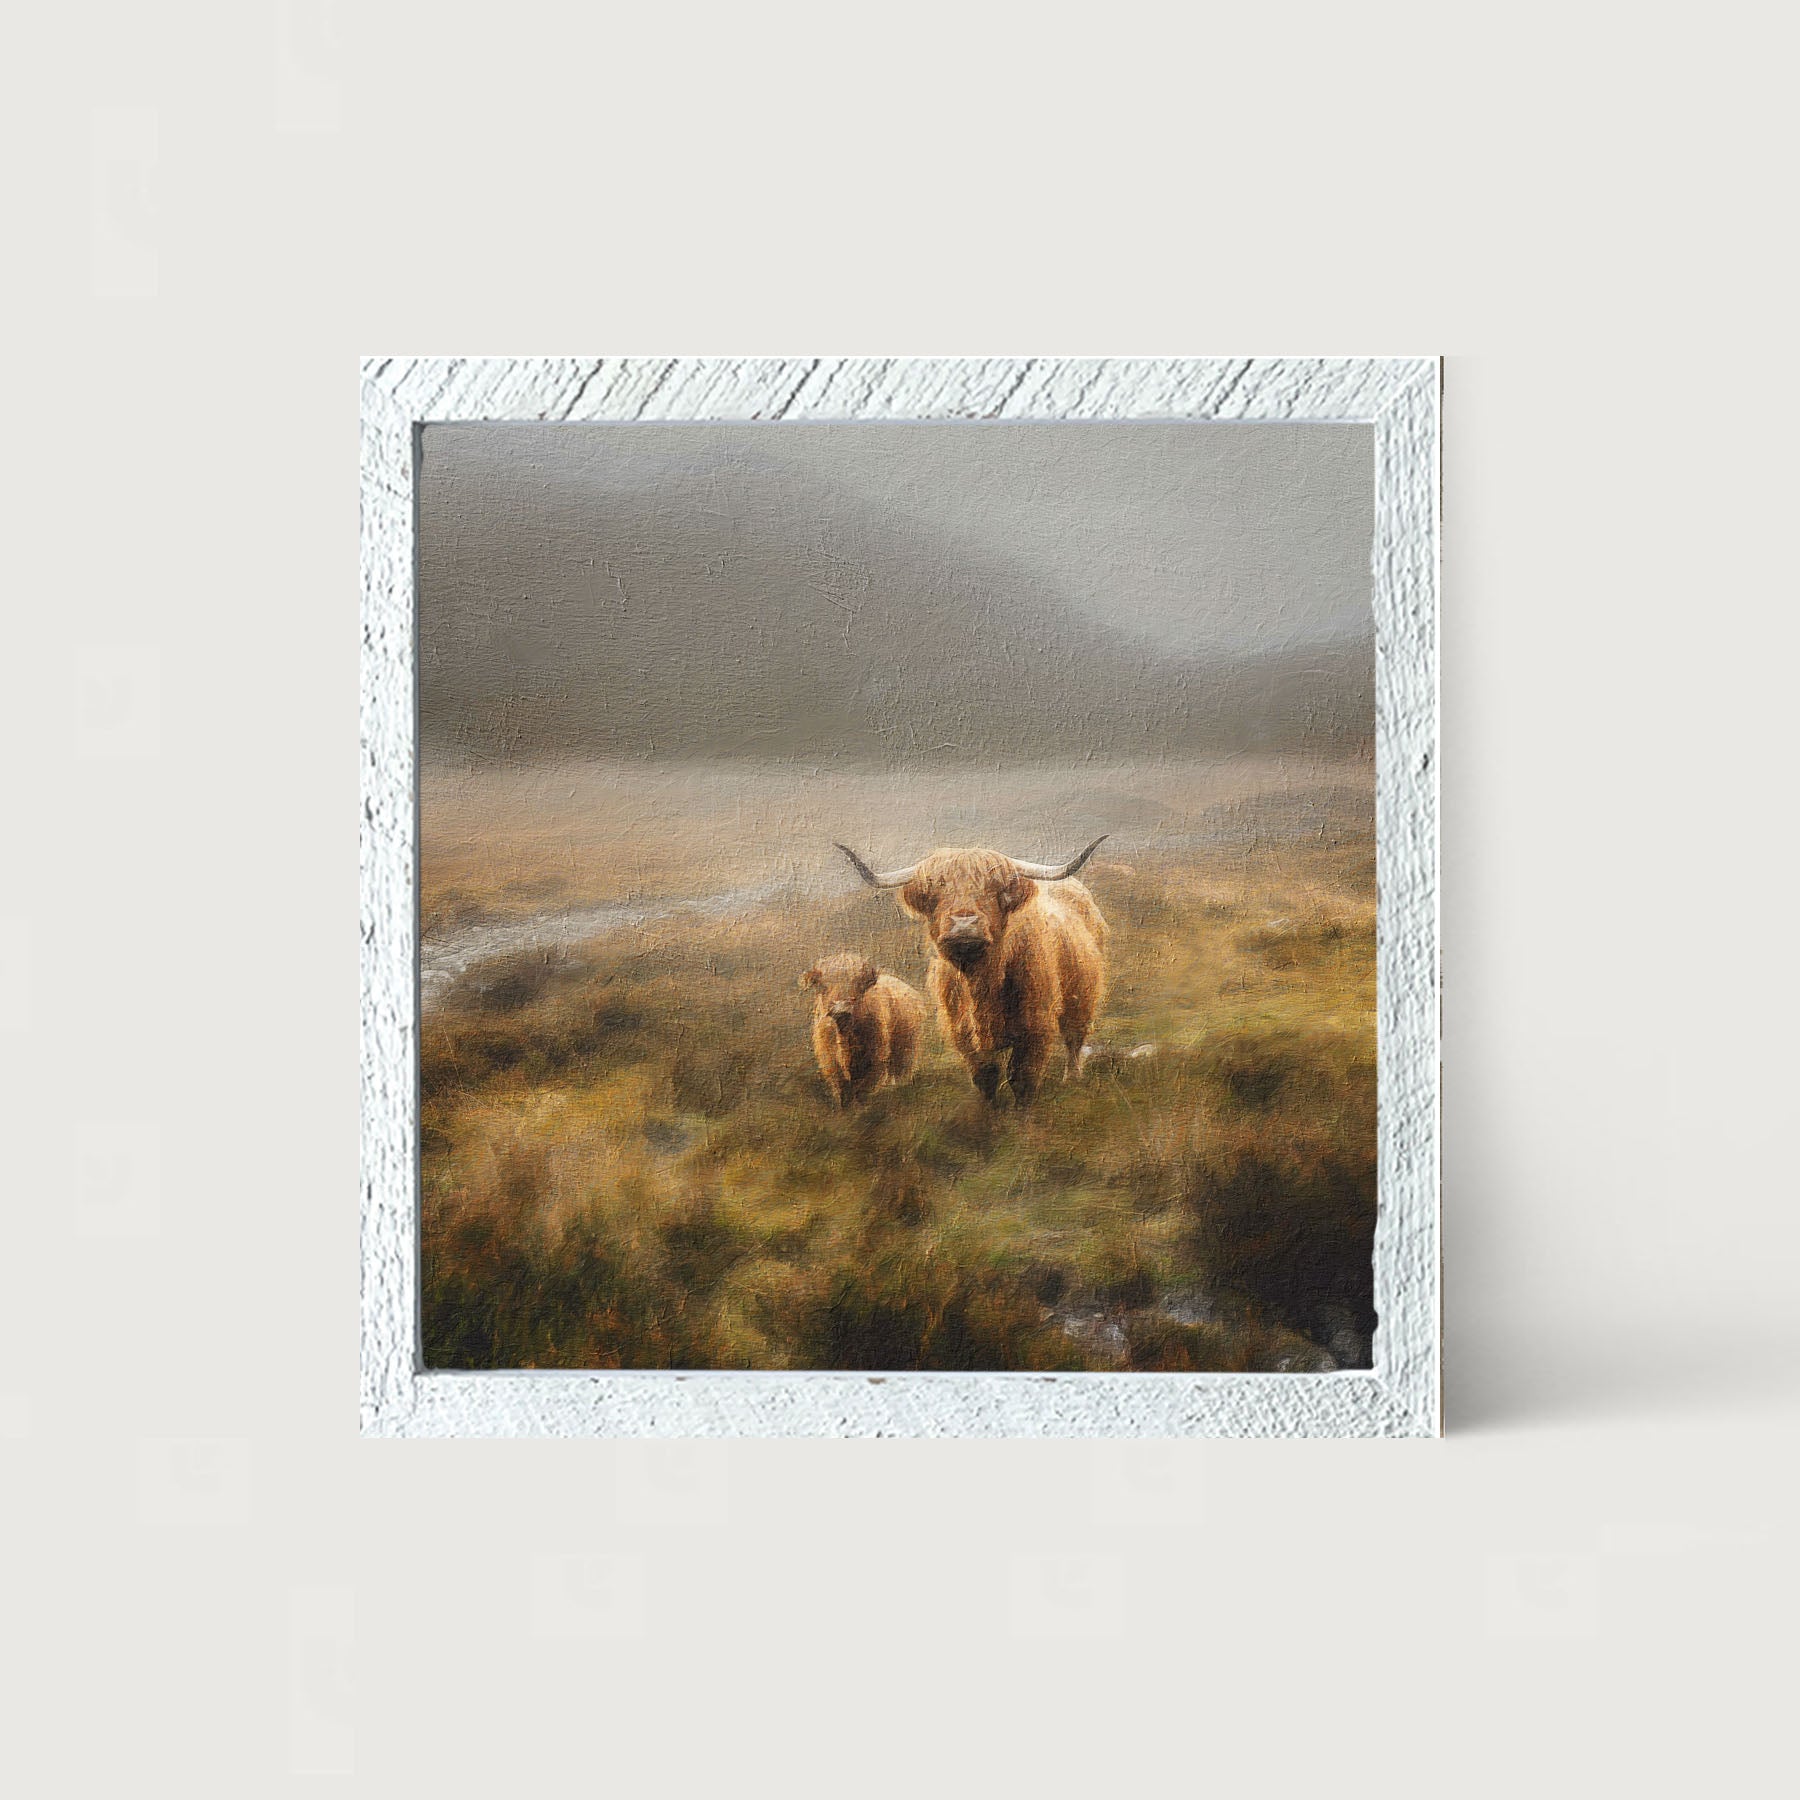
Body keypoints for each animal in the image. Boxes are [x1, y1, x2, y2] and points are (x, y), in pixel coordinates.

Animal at [798, 953, 926, 1108]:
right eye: (821, 984)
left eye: (859, 983)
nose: (841, 1009)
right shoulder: (830, 1063)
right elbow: (843, 1094)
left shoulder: (876, 1061)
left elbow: (864, 1093)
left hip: (908, 1050)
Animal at [835, 837, 1109, 1106]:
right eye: (936, 888)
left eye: (995, 888)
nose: (964, 925)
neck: (981, 982)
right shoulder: (962, 1031)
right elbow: (986, 1075)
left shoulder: (1036, 1025)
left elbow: (1023, 1077)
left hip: (1082, 997)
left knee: (1074, 1038)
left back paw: (1072, 1078)